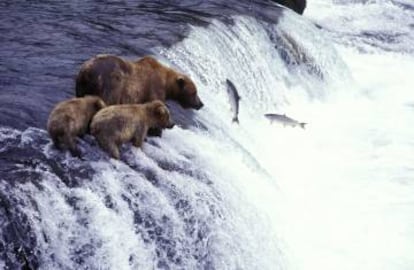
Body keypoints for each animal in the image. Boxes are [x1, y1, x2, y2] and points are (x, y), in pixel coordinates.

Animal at [75, 53, 204, 109]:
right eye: (194, 92)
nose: (200, 104)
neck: (167, 83)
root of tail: (86, 71)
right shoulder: (155, 86)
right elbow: (155, 100)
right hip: (110, 84)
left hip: (81, 85)